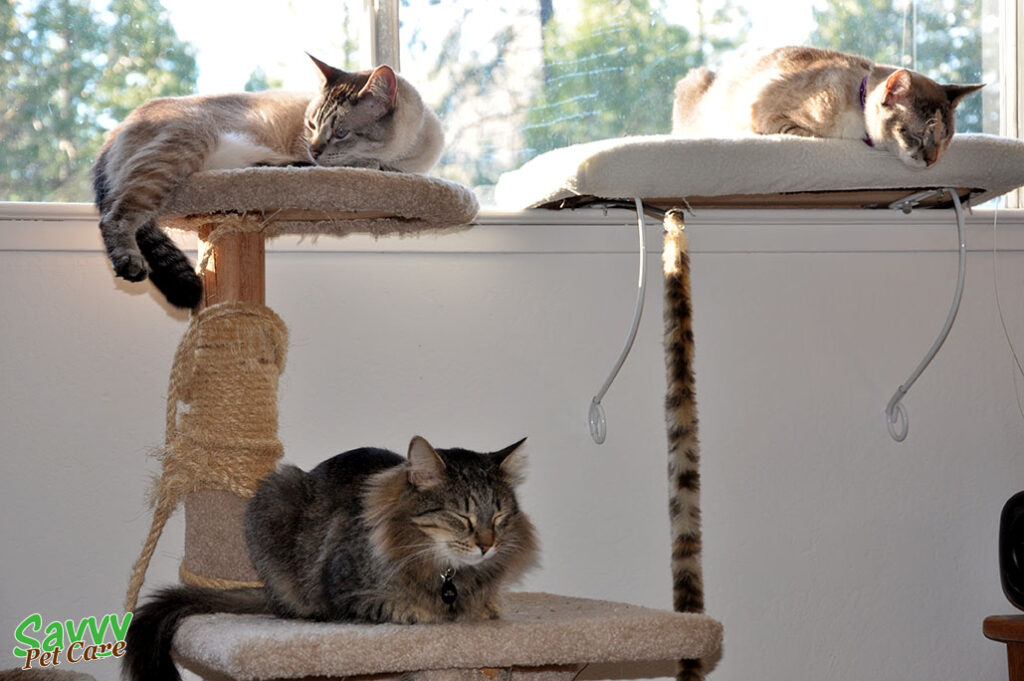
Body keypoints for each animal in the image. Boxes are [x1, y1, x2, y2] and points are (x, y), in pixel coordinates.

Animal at [96, 55, 444, 307]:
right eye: (311, 125)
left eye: (341, 132)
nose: (314, 149)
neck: (409, 152)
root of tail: (114, 131)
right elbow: (372, 165)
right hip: (186, 147)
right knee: (115, 214)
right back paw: (129, 263)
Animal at [123, 436, 540, 679]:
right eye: (461, 517)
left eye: (499, 518)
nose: (488, 545)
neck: (446, 575)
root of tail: (266, 591)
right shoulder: (343, 590)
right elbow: (395, 606)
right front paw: (422, 610)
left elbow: (483, 605)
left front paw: (484, 605)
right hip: (275, 496)